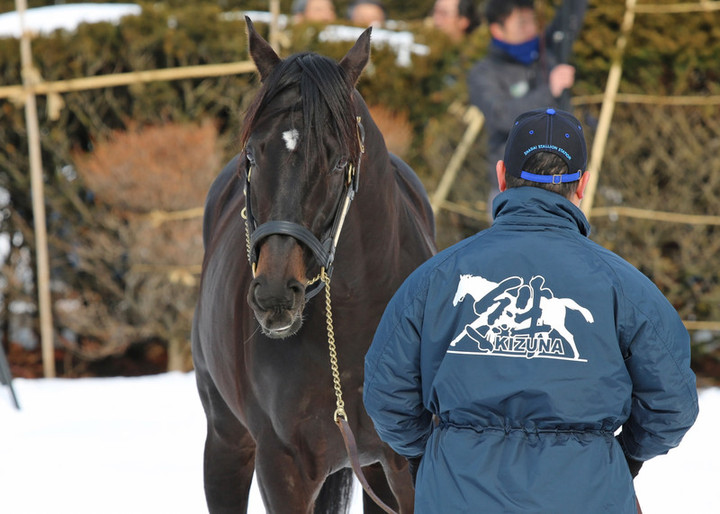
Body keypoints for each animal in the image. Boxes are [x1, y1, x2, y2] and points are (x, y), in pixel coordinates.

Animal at [191, 18, 436, 510]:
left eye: (338, 161)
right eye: (251, 155)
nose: (274, 294)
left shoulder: (406, 463)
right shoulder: (281, 465)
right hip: (226, 441)